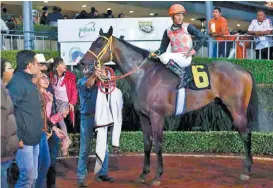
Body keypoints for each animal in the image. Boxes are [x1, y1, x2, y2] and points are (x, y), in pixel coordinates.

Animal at [77, 26, 258, 187]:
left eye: (99, 44)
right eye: (93, 42)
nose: (82, 63)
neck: (144, 75)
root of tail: (244, 69)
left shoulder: (157, 116)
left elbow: (157, 144)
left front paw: (157, 176)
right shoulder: (143, 116)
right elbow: (147, 144)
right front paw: (143, 174)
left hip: (237, 109)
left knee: (246, 133)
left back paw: (247, 171)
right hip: (226, 107)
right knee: (243, 133)